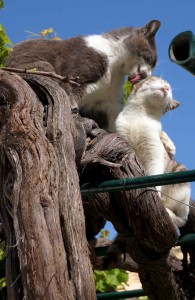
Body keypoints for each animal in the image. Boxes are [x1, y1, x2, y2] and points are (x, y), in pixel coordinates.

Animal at [6, 19, 161, 131]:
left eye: (153, 66)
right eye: (150, 58)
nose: (147, 74)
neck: (114, 69)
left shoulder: (106, 102)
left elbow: (114, 121)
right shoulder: (78, 75)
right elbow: (71, 91)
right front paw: (73, 108)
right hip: (40, 66)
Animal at [116, 75, 190, 227]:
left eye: (170, 90)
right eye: (161, 81)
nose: (166, 87)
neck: (138, 116)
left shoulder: (154, 153)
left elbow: (154, 177)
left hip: (180, 176)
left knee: (181, 219)